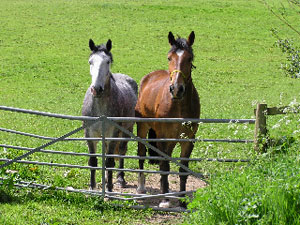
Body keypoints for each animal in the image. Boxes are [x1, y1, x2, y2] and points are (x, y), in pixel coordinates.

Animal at [82, 38, 138, 192]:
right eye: (90, 62)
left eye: (107, 61)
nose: (96, 89)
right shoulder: (89, 134)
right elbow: (93, 161)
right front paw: (92, 187)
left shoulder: (113, 134)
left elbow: (110, 161)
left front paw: (110, 188)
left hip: (126, 130)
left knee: (121, 152)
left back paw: (120, 179)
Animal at [135, 30, 200, 208]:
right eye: (169, 57)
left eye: (189, 58)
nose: (177, 89)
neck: (178, 105)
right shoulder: (163, 137)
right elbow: (164, 166)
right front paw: (164, 200)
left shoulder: (188, 139)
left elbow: (183, 169)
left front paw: (183, 202)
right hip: (143, 129)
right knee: (141, 154)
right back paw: (141, 187)